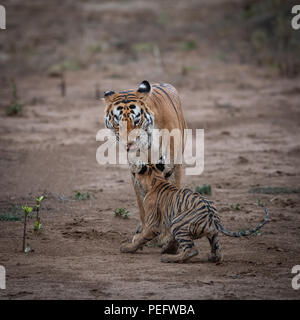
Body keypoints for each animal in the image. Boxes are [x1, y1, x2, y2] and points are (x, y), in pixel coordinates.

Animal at [104, 80, 186, 245]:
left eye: (136, 121)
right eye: (117, 122)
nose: (129, 143)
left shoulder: (173, 167)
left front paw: (167, 237)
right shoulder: (136, 171)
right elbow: (142, 205)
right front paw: (144, 235)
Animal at [119, 164, 270, 264]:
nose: (132, 173)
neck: (157, 179)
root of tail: (213, 217)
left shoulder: (153, 224)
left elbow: (141, 237)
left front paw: (128, 248)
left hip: (178, 223)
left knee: (192, 250)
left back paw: (168, 258)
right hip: (212, 234)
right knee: (218, 252)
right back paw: (211, 257)